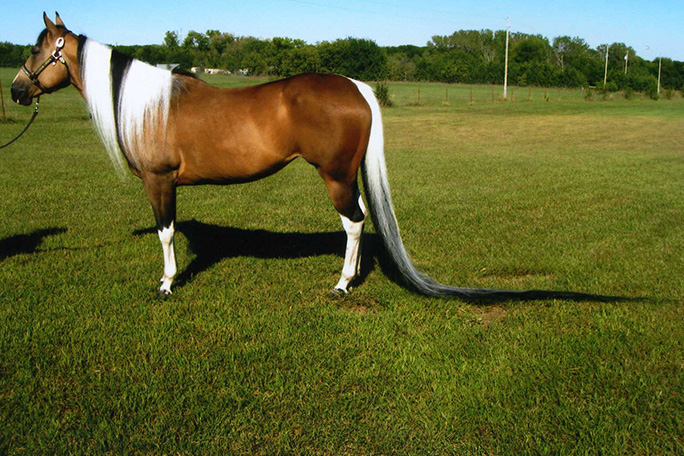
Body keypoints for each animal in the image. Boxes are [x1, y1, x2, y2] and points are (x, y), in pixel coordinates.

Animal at [11, 13, 615, 302]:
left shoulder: (160, 183)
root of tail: (355, 85)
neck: (149, 104)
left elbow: (164, 235)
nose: (17, 90)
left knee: (354, 224)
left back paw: (342, 284)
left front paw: (165, 285)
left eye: (38, 49)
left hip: (335, 177)